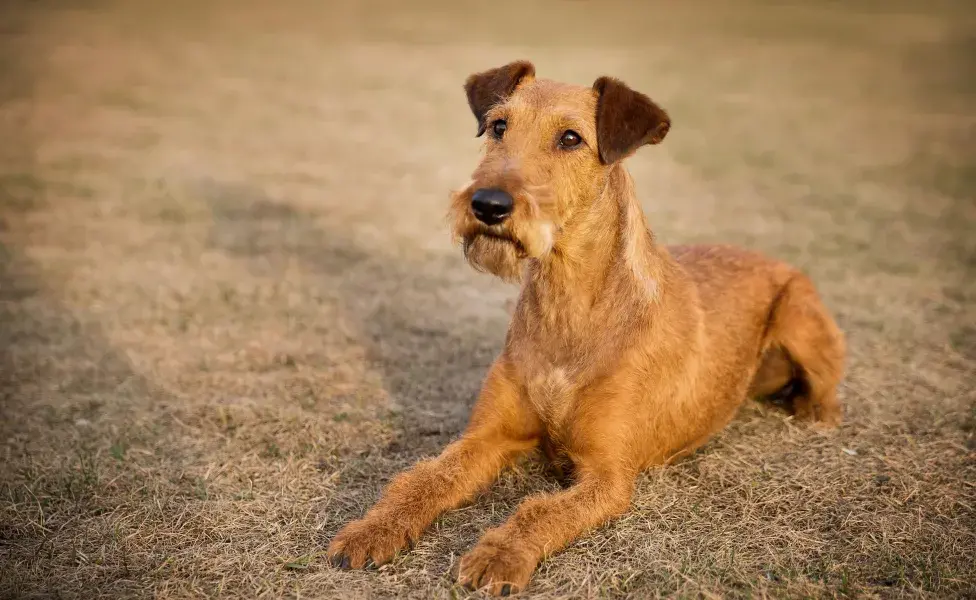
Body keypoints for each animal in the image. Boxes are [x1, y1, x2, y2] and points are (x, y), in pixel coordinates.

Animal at [324, 61, 844, 596]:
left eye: (571, 138)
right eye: (499, 126)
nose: (488, 205)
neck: (568, 305)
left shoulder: (607, 477)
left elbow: (539, 513)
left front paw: (499, 555)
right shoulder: (487, 437)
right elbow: (425, 478)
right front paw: (372, 530)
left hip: (801, 318)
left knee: (827, 396)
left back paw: (809, 410)